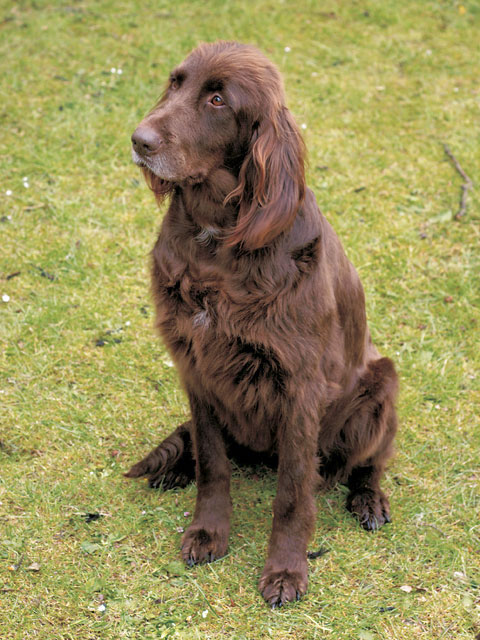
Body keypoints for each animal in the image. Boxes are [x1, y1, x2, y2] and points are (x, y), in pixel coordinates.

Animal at [126, 40, 398, 604]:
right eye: (176, 83)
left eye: (217, 100)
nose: (139, 140)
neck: (216, 238)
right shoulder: (197, 366)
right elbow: (212, 463)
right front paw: (207, 532)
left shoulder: (299, 385)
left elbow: (292, 491)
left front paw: (286, 570)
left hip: (383, 384)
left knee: (367, 463)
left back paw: (368, 499)